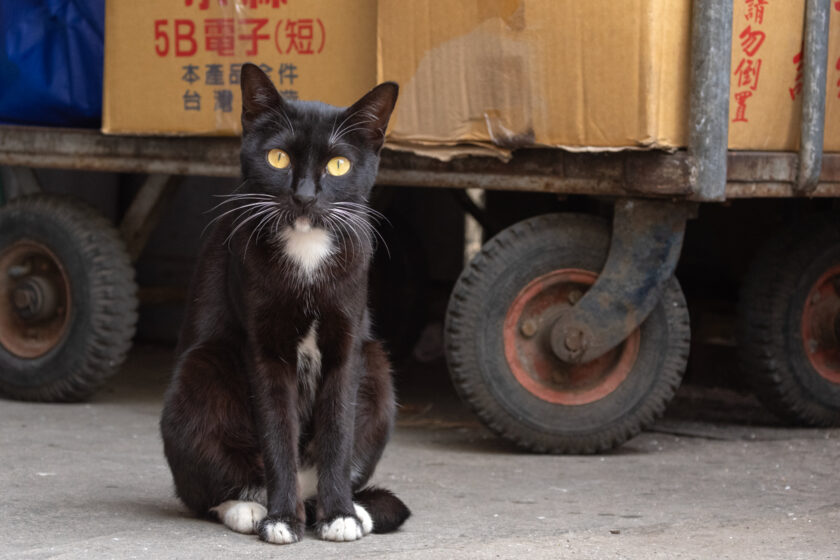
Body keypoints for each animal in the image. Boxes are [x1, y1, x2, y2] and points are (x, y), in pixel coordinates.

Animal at [160, 63, 410, 544]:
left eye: (338, 164)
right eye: (278, 158)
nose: (306, 195)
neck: (307, 249)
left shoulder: (347, 344)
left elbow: (338, 429)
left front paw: (340, 515)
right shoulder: (264, 346)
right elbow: (276, 432)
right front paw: (280, 519)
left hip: (376, 365)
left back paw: (346, 508)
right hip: (200, 370)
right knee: (201, 491)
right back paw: (248, 507)